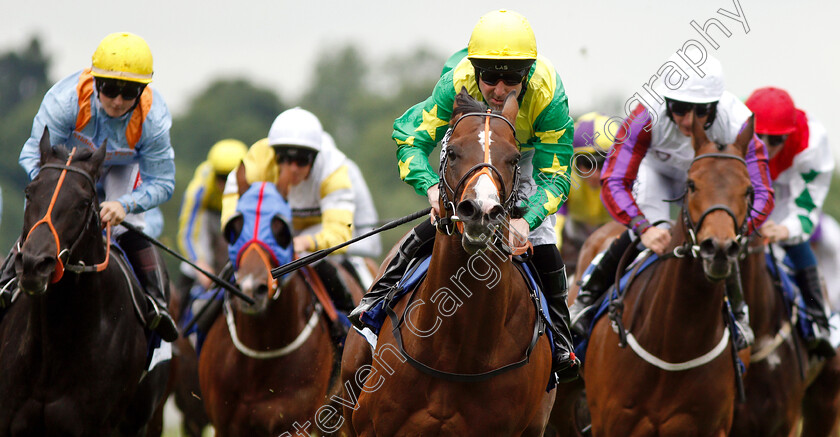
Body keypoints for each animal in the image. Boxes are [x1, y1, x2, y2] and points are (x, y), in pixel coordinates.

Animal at [580, 117, 756, 434]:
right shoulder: (610, 424)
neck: (675, 344)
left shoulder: (711, 427)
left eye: (748, 190)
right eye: (692, 184)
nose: (719, 249)